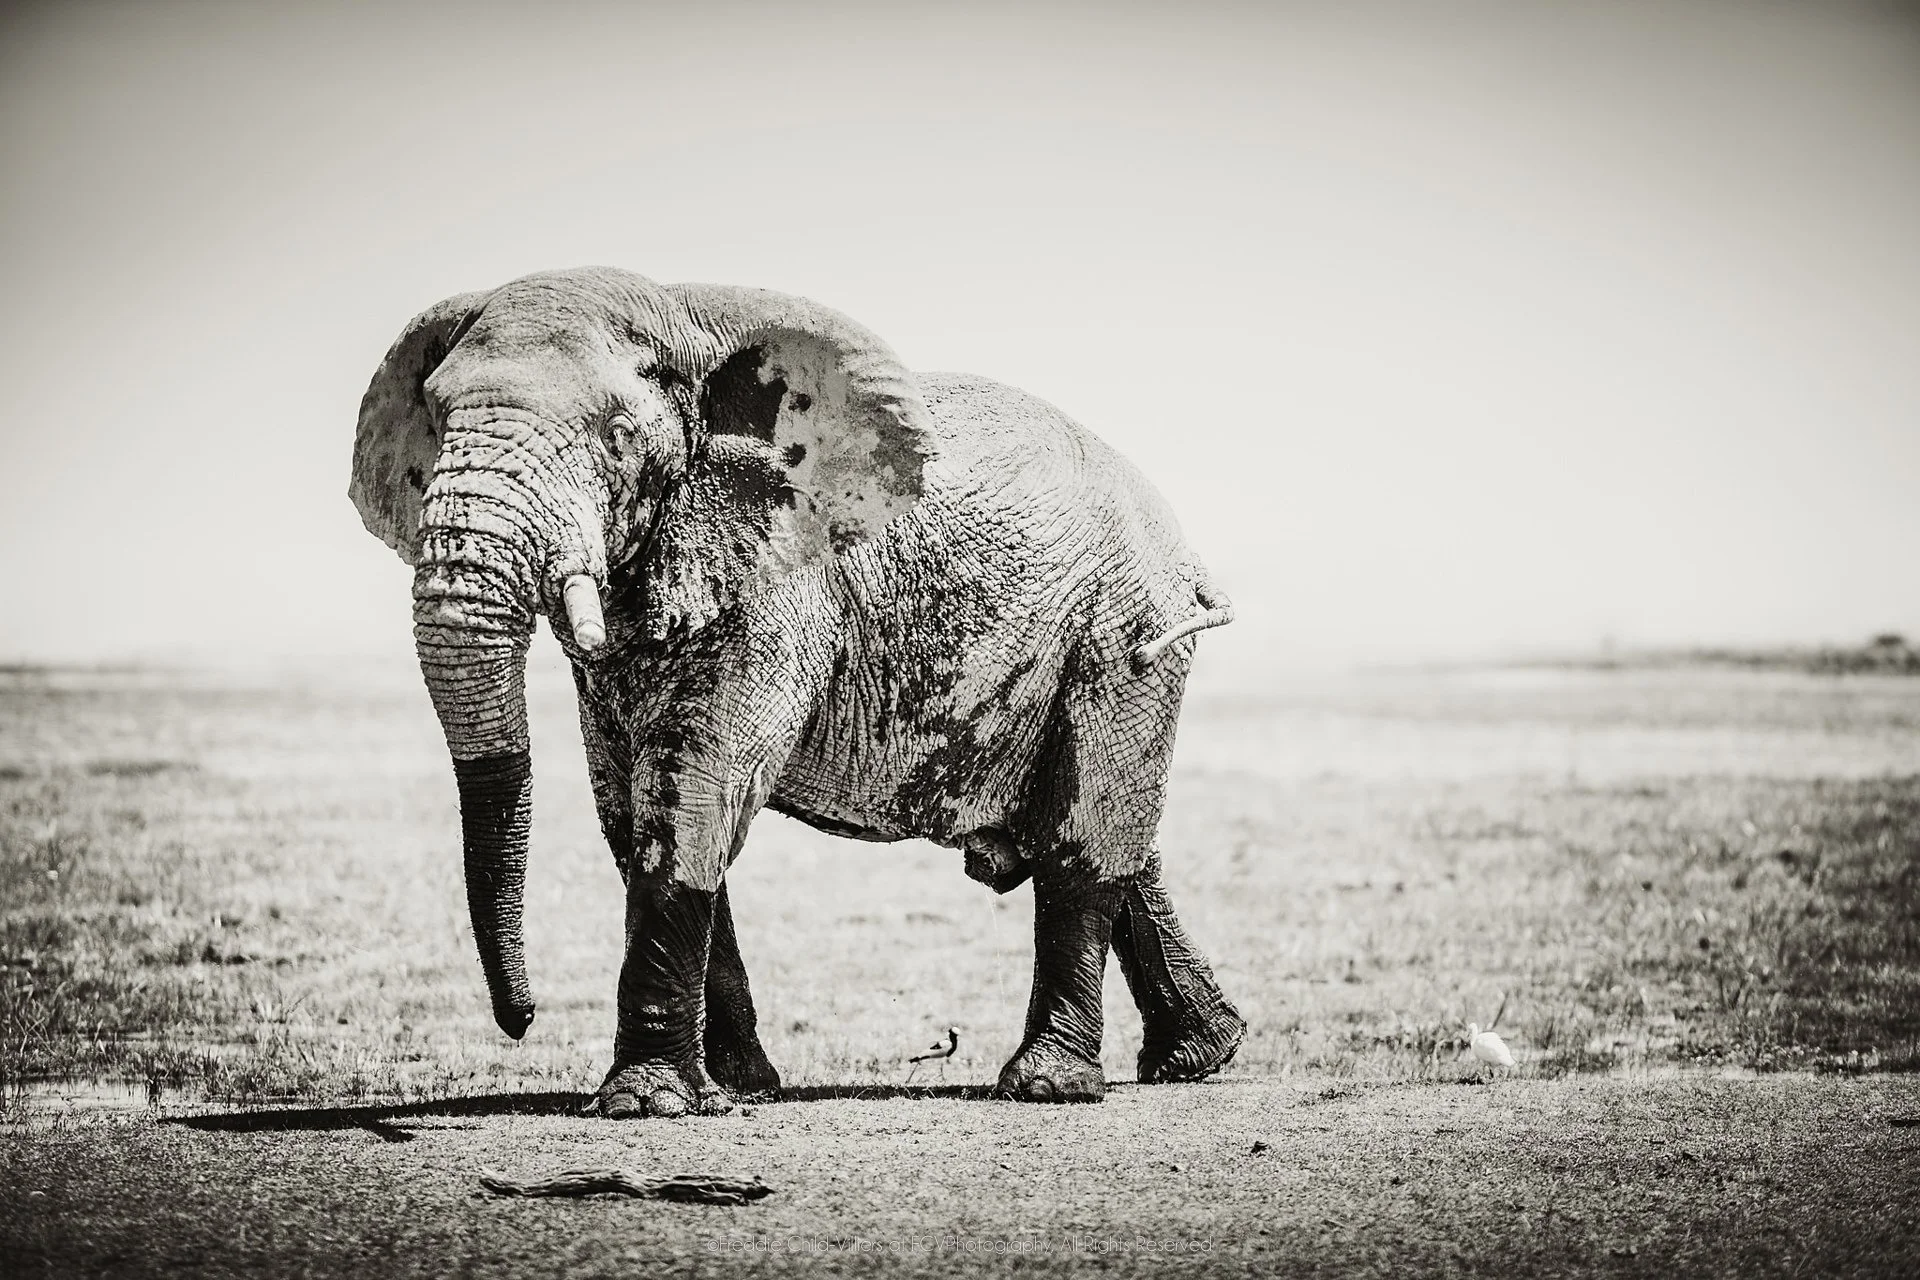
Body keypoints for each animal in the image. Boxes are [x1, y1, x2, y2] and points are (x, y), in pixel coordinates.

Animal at [348, 267, 1245, 1117]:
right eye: (435, 420)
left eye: (617, 438)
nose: (521, 1019)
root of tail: (1186, 551)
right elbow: (631, 810)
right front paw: (737, 1090)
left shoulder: (784, 578)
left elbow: (696, 785)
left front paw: (645, 1105)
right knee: (1112, 832)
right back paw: (1201, 1056)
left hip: (1119, 635)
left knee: (1085, 839)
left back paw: (1049, 1086)